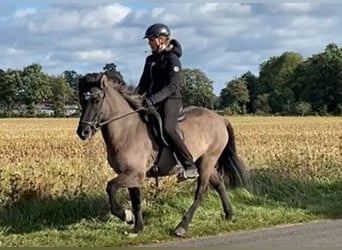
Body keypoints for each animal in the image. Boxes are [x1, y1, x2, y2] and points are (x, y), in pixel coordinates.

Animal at [76, 72, 247, 236]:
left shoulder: (135, 173)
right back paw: (228, 214)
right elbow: (136, 200)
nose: (83, 132)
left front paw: (126, 215)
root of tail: (220, 118)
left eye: (96, 100)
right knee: (219, 183)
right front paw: (137, 228)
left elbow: (110, 187)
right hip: (204, 161)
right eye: (82, 101)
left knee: (201, 191)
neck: (127, 131)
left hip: (208, 160)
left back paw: (182, 226)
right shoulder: (132, 174)